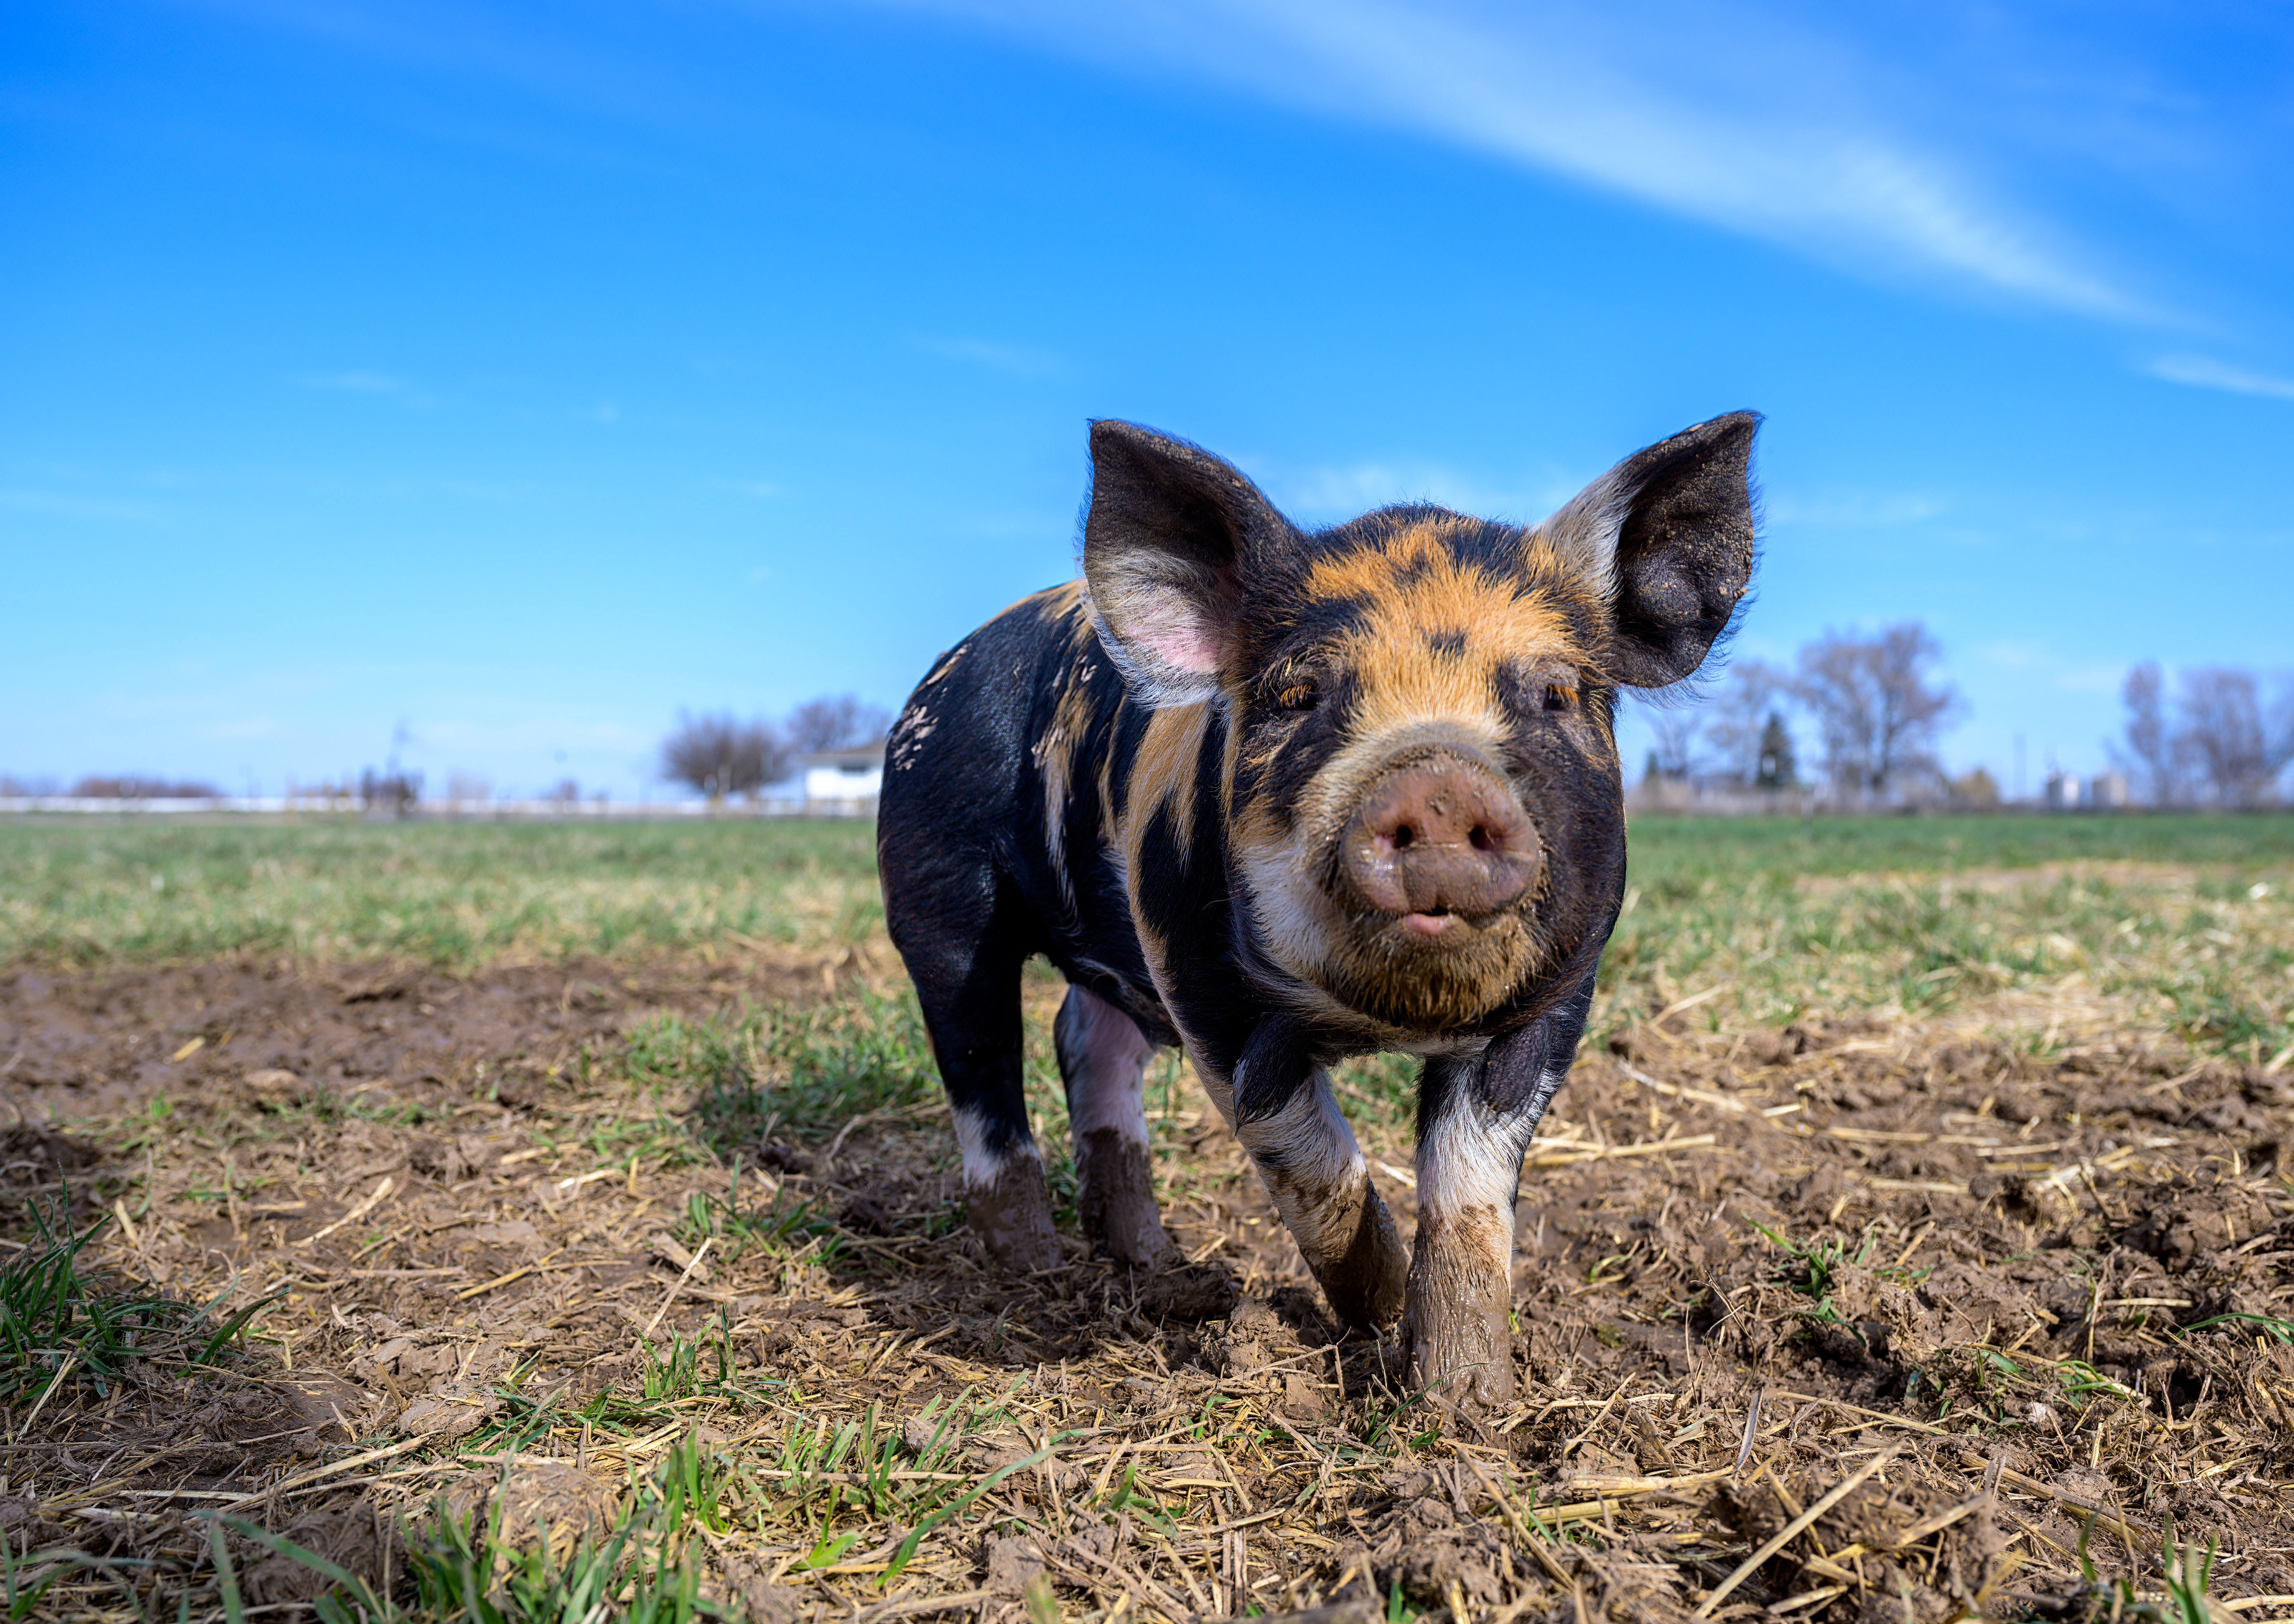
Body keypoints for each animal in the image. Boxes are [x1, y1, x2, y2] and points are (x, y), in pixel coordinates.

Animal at [876, 412, 1752, 1404]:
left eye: (1558, 693)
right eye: (1300, 695)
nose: (1439, 783)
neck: (1384, 1020)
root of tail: (949, 664)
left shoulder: (1559, 997)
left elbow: (1471, 1194)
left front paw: (1464, 1400)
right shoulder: (1202, 984)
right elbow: (1314, 1165)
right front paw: (1376, 1314)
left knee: (1086, 1045)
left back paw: (1151, 1264)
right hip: (936, 882)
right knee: (981, 1060)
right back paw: (1032, 1267)